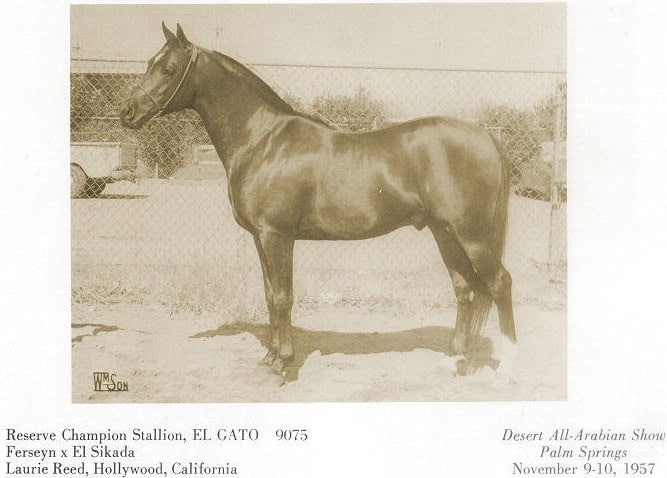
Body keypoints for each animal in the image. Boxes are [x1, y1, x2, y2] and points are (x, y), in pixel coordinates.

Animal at [120, 23, 517, 375]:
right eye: (150, 63)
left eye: (169, 69)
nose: (127, 112)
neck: (263, 140)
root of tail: (487, 138)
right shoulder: (260, 238)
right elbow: (270, 295)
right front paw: (269, 359)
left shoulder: (277, 236)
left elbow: (283, 297)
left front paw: (283, 364)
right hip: (443, 232)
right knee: (465, 288)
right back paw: (454, 360)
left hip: (471, 234)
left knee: (499, 283)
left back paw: (508, 361)